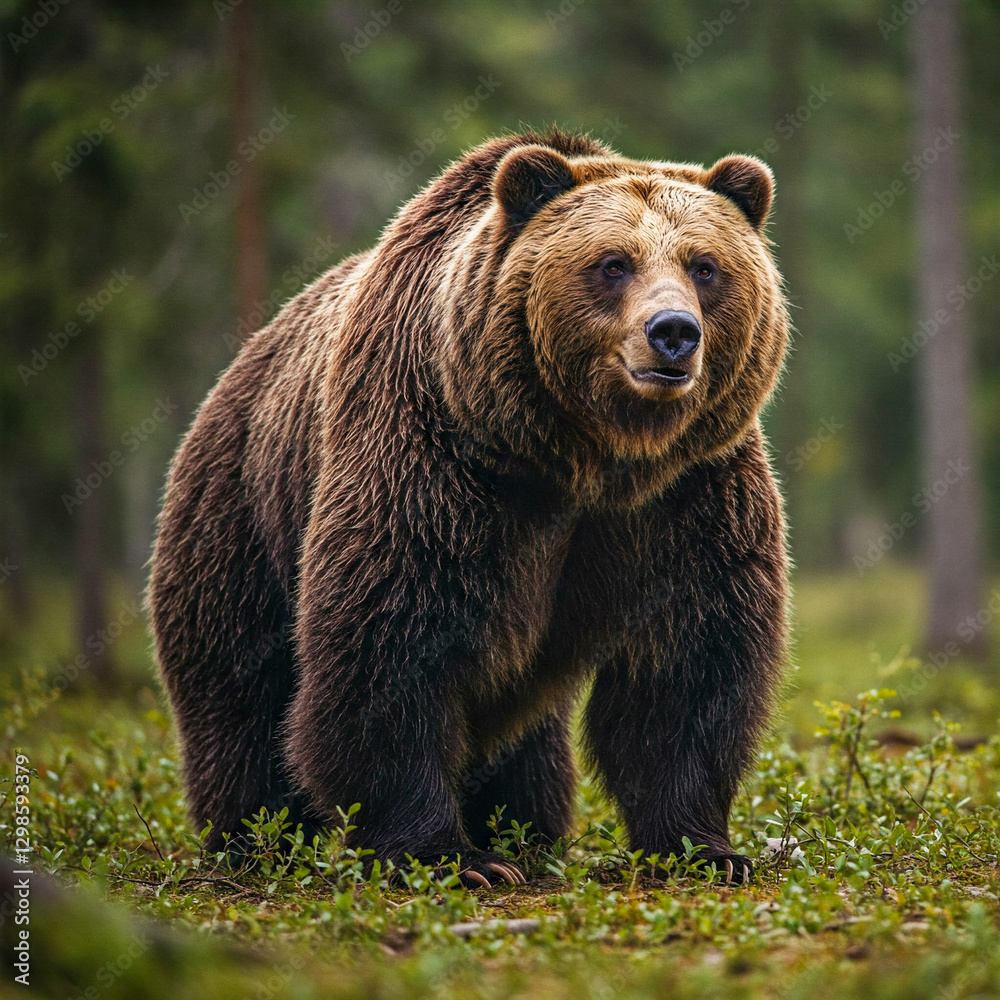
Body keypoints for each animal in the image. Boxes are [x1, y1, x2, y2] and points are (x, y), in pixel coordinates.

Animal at [148, 127, 789, 888]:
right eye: (613, 264)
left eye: (705, 266)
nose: (673, 332)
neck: (586, 456)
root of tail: (241, 364)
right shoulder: (439, 462)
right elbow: (393, 642)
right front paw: (446, 856)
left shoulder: (688, 492)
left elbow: (688, 662)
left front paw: (707, 849)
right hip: (241, 507)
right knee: (240, 685)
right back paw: (256, 837)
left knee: (527, 735)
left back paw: (524, 828)